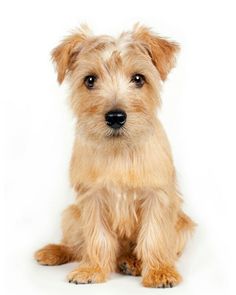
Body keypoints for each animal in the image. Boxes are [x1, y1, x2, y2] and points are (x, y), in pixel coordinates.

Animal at [34, 24, 194, 290]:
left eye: (138, 78)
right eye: (90, 80)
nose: (116, 117)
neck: (120, 150)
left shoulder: (157, 197)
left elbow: (154, 236)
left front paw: (159, 271)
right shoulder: (92, 197)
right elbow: (97, 237)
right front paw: (92, 269)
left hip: (183, 225)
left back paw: (133, 262)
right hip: (71, 215)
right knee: (76, 245)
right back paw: (55, 251)